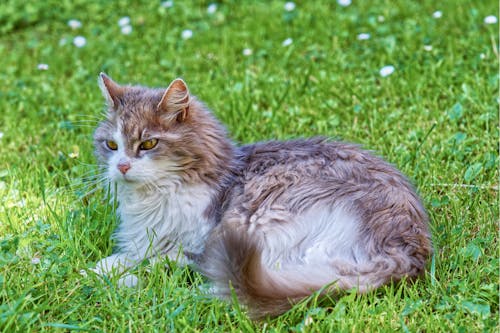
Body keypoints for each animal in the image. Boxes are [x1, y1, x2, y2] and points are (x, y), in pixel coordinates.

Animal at [92, 72, 432, 316]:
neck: (154, 198)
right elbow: (132, 256)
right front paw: (104, 269)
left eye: (148, 144)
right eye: (111, 145)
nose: (121, 166)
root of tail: (404, 248)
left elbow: (152, 263)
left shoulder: (196, 244)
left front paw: (107, 276)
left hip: (260, 221)